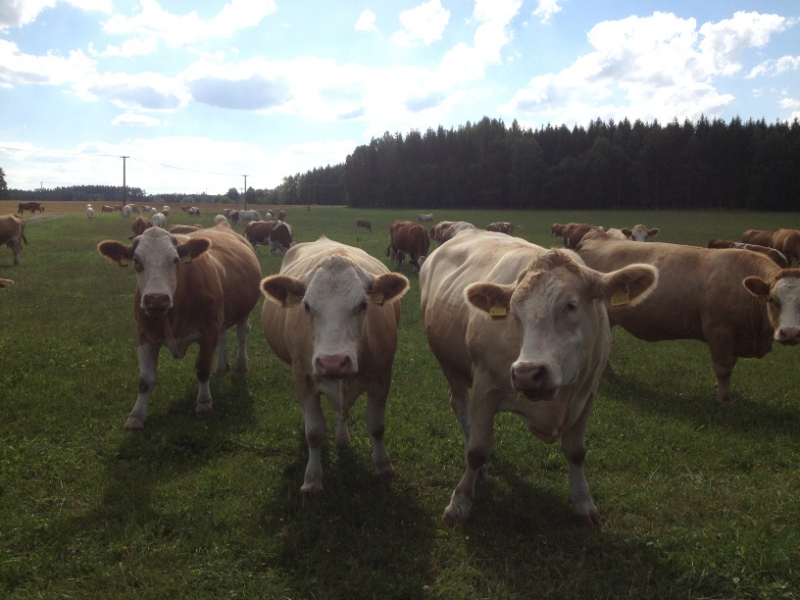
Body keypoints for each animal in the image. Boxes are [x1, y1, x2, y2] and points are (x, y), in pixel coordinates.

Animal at [97, 222, 262, 429]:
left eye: (176, 260)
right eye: (136, 261)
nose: (156, 299)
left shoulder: (209, 330)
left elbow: (202, 369)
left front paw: (204, 402)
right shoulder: (144, 334)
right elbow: (145, 380)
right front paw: (136, 416)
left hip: (243, 312)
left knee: (241, 334)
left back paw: (241, 364)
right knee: (223, 338)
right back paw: (220, 368)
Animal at [260, 237, 410, 493]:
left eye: (363, 305)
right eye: (306, 306)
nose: (332, 362)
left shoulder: (382, 378)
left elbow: (376, 426)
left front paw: (383, 466)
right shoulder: (303, 379)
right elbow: (314, 432)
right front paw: (312, 479)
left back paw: (341, 434)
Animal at [420, 228, 658, 525]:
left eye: (571, 305)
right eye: (513, 312)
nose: (527, 373)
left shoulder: (588, 393)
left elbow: (576, 451)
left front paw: (584, 502)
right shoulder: (485, 388)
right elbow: (477, 451)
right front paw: (460, 502)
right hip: (450, 365)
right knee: (461, 408)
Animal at [577, 230, 800, 404]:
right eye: (772, 299)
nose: (790, 333)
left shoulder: (735, 335)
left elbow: (731, 364)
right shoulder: (719, 330)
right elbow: (724, 368)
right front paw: (724, 400)